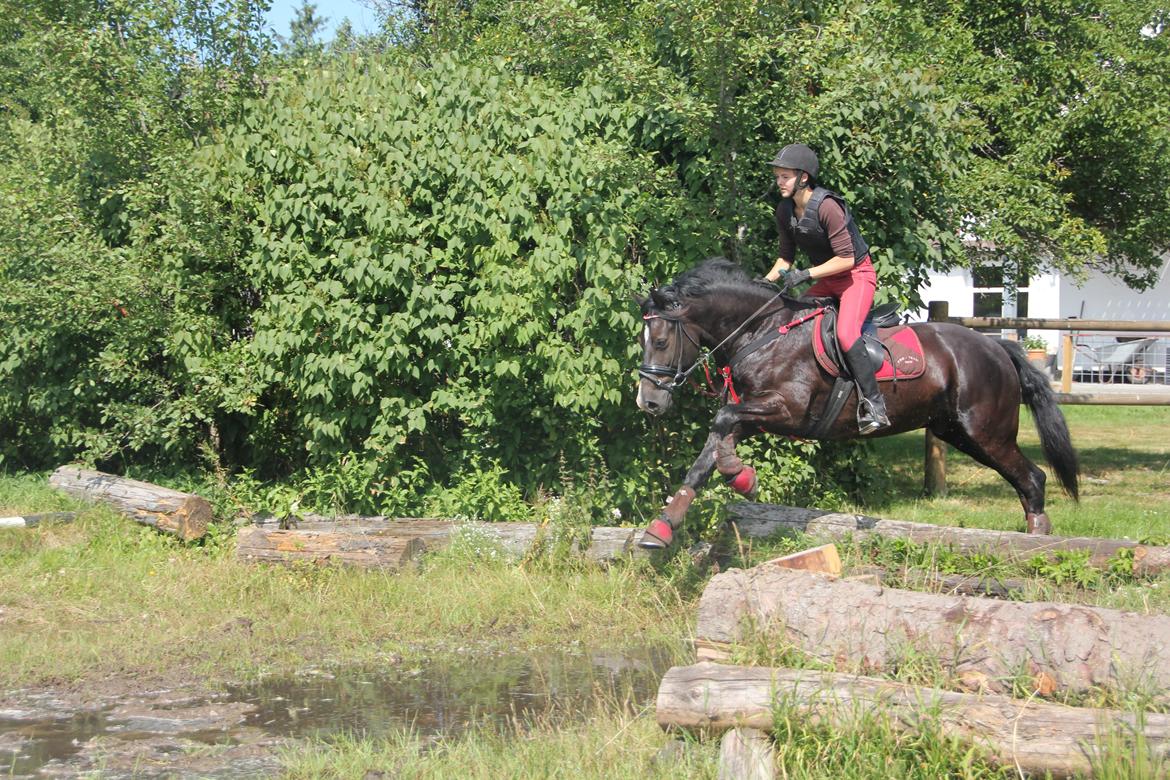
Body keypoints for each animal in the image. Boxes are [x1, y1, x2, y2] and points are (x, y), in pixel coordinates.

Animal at [631, 257, 1076, 549]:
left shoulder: (786, 409)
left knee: (1033, 477)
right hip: (956, 431)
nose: (648, 402)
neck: (761, 331)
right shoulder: (754, 415)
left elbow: (722, 420)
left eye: (661, 341)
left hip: (984, 431)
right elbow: (706, 457)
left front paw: (742, 478)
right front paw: (663, 526)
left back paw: (1036, 541)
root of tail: (998, 347)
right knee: (1025, 479)